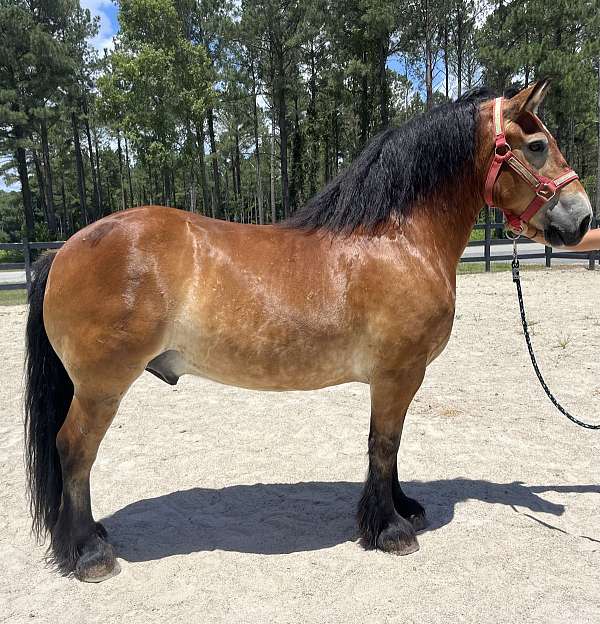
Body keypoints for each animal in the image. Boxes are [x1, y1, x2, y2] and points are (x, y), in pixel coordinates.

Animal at [22, 81, 592, 580]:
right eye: (538, 146)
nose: (583, 219)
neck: (399, 240)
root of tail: (63, 250)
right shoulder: (398, 374)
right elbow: (383, 443)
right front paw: (389, 530)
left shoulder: (397, 379)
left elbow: (391, 444)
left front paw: (402, 507)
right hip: (101, 386)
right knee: (74, 450)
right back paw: (89, 554)